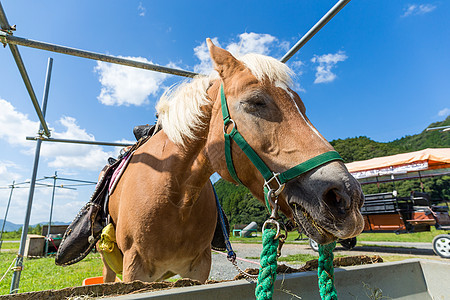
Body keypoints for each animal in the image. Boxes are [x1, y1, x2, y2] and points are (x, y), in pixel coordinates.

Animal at [100, 38, 364, 284]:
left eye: (302, 106)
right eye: (255, 102)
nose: (347, 197)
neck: (176, 197)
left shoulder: (198, 269)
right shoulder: (134, 269)